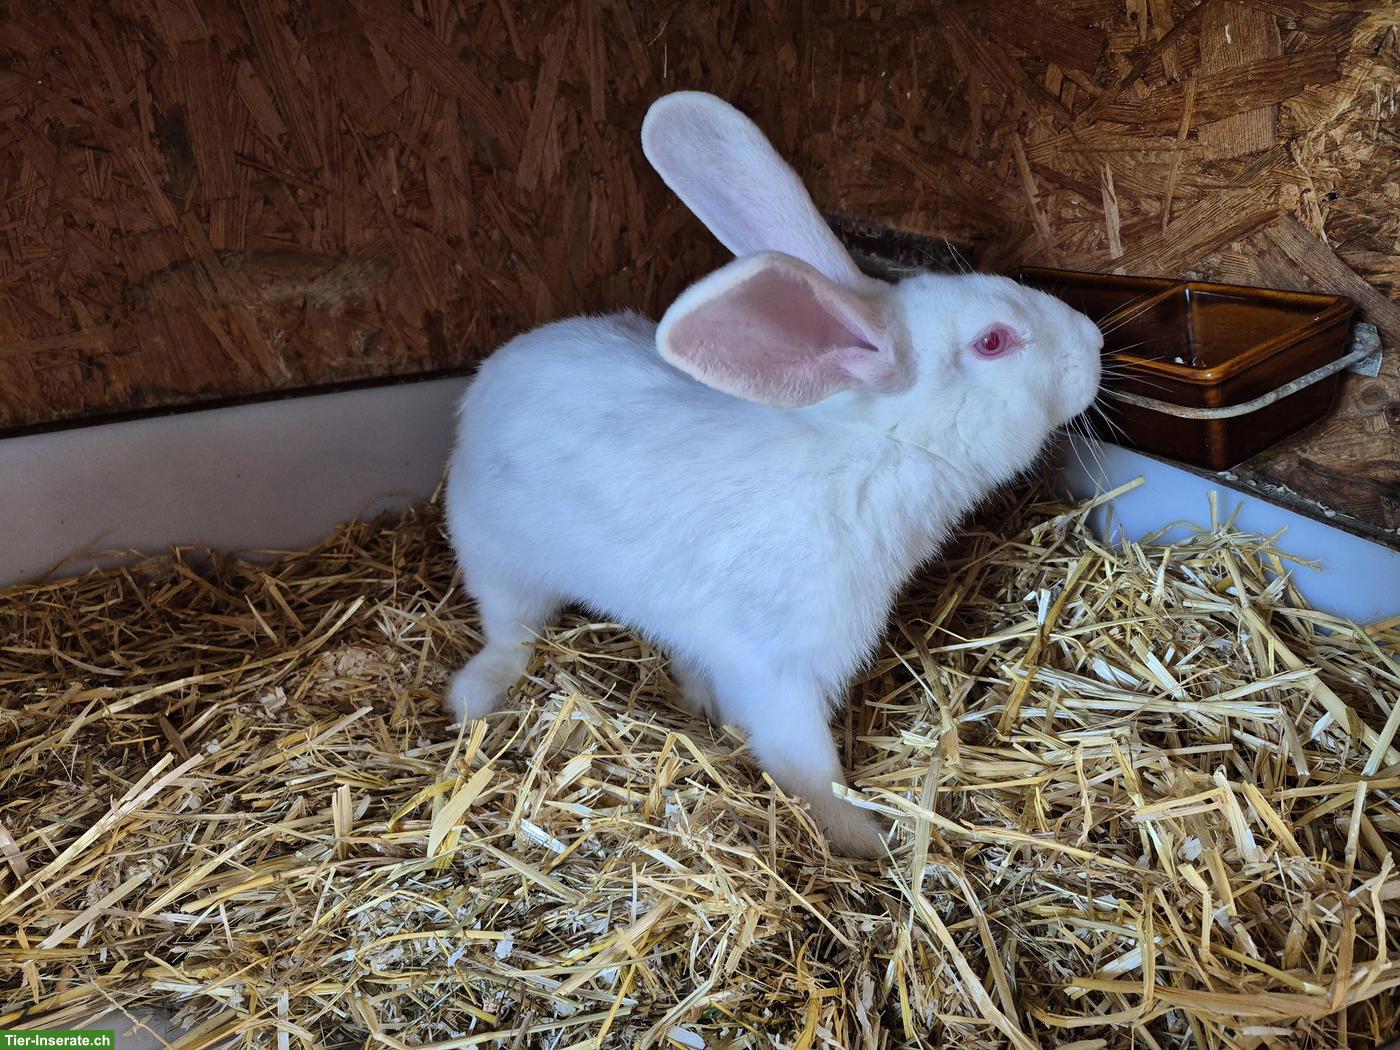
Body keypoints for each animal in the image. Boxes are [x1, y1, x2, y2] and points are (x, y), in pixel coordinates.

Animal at [441, 91, 1102, 858]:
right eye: (993, 341)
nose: (1095, 341)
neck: (873, 452)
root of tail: (490, 378)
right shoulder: (780, 671)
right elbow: (808, 765)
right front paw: (867, 842)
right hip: (499, 557)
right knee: (509, 631)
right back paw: (475, 694)